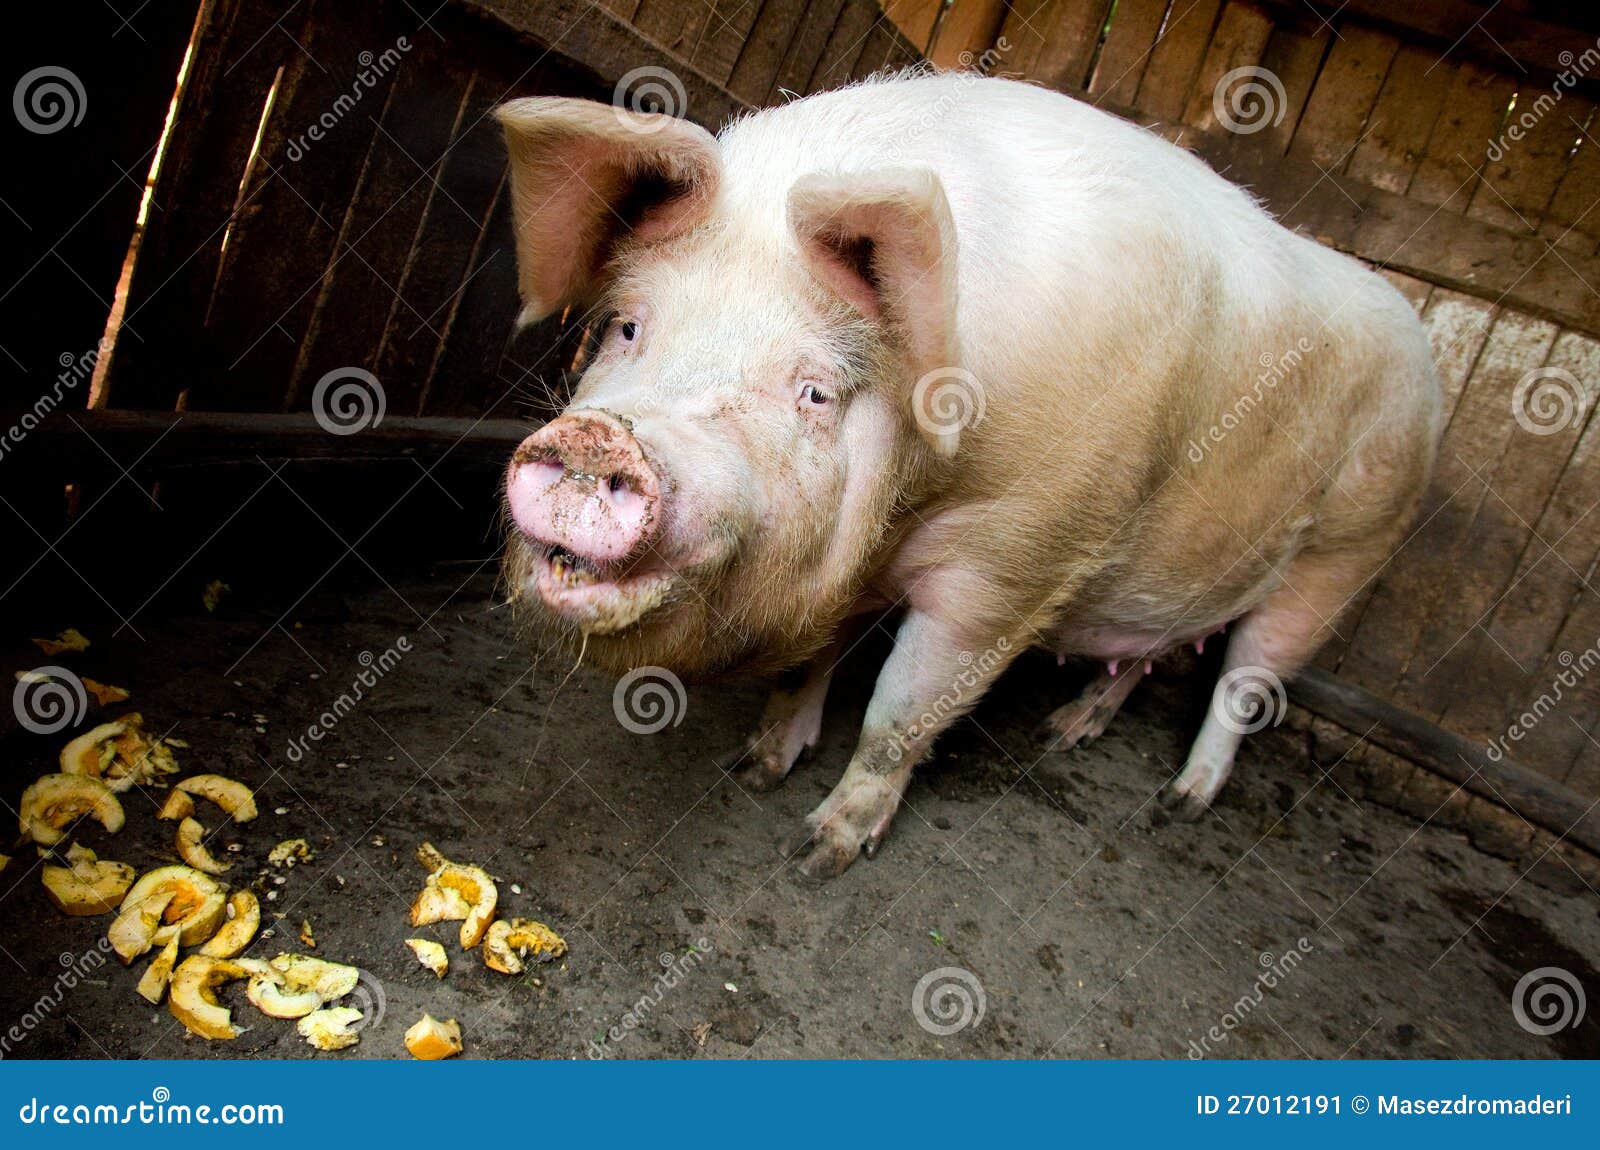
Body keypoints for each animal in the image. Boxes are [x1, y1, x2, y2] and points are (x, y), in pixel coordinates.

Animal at [497, 71, 1441, 880]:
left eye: (814, 391)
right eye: (627, 327)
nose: (600, 440)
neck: (909, 506)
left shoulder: (1017, 555)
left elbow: (898, 711)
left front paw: (816, 854)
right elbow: (810, 667)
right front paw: (756, 768)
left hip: (1346, 554)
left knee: (1245, 683)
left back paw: (1179, 805)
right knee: (1148, 654)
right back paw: (1068, 733)